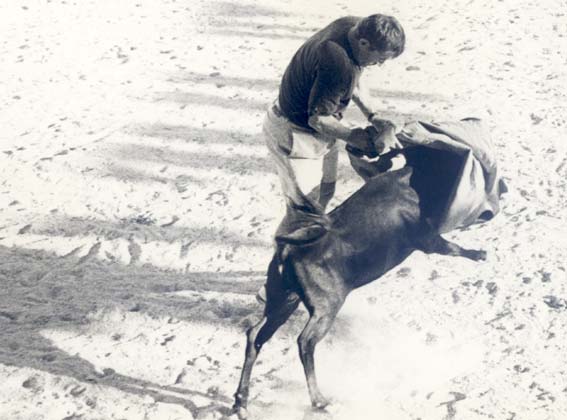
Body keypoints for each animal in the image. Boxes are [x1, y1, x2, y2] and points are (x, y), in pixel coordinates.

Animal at [233, 145, 490, 416]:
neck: (409, 180)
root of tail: (288, 250)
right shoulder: (428, 239)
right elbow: (452, 248)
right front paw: (479, 254)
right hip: (326, 307)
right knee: (305, 342)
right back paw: (319, 400)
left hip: (283, 300)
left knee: (256, 335)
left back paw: (241, 402)